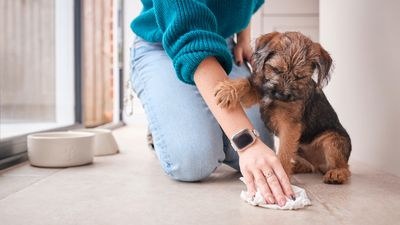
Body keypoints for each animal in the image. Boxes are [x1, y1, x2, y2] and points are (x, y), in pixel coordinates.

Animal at [216, 31, 350, 185]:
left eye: (300, 77)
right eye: (276, 69)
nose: (282, 94)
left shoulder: (289, 126)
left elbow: (284, 152)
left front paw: (283, 175)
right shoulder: (259, 90)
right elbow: (246, 83)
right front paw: (228, 89)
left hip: (332, 140)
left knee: (345, 167)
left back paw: (336, 173)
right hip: (301, 149)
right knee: (310, 166)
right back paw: (297, 166)